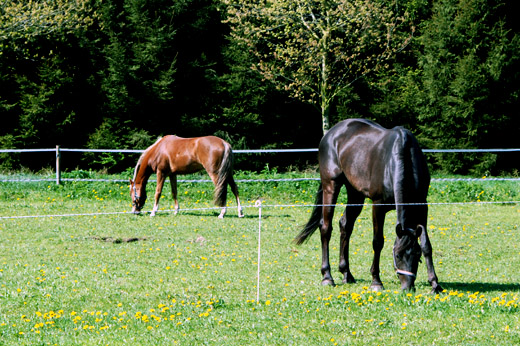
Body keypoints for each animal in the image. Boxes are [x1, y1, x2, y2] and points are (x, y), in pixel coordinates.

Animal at [296, 118, 442, 292]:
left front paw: (435, 284)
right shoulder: (378, 206)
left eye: (417, 254)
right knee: (325, 227)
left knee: (345, 225)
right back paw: (327, 277)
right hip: (330, 185)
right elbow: (378, 242)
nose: (407, 287)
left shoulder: (422, 206)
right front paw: (376, 281)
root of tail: (331, 133)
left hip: (355, 193)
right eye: (397, 255)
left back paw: (347, 274)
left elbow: (426, 244)